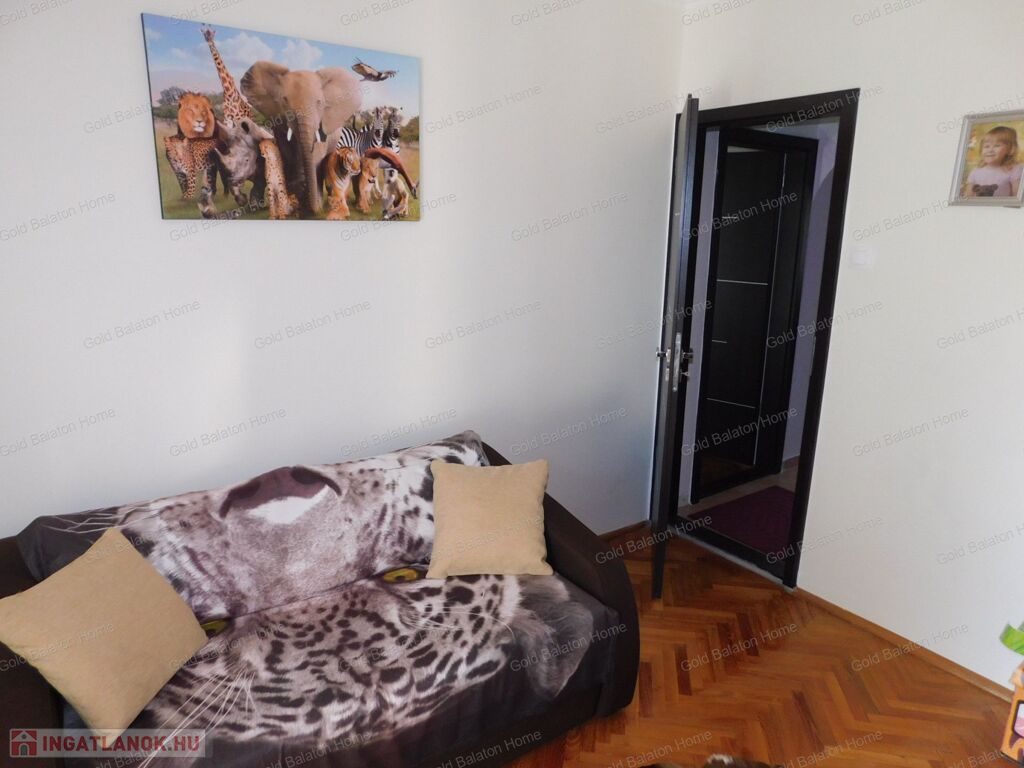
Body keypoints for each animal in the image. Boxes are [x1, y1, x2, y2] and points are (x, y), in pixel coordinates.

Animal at [240, 62, 363, 216]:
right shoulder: (279, 122)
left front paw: (315, 206)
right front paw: (297, 202)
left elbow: (317, 157)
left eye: (319, 102)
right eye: (285, 101)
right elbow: (288, 154)